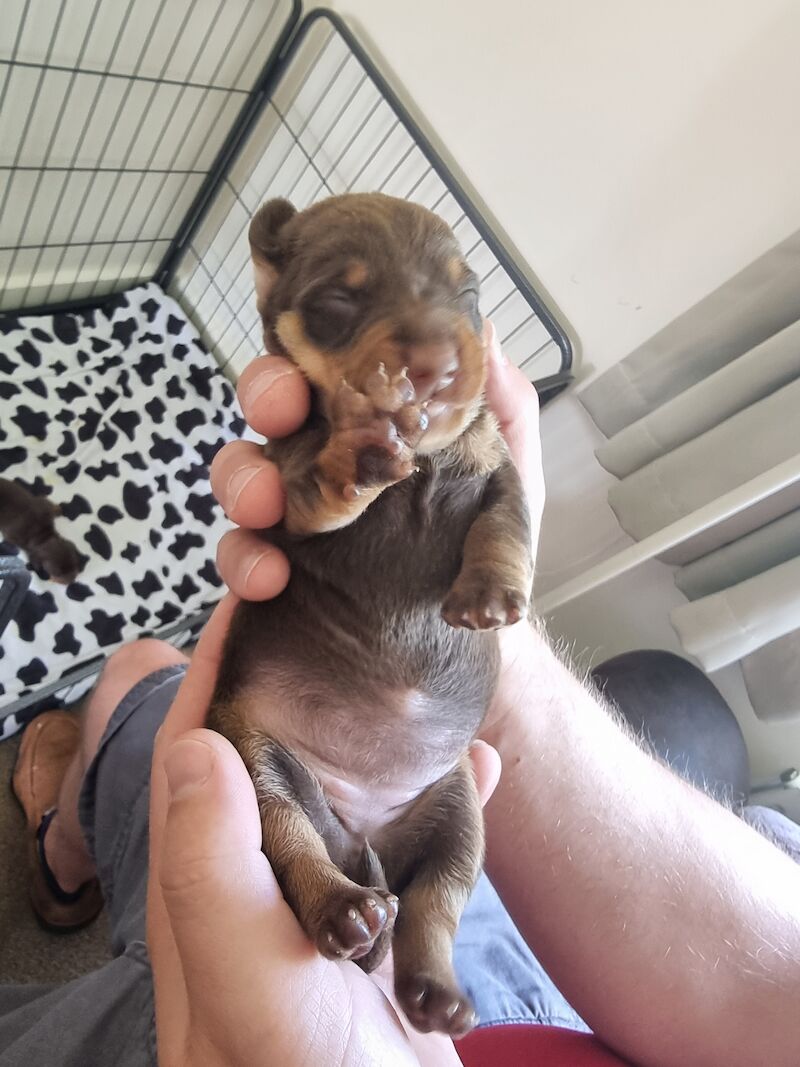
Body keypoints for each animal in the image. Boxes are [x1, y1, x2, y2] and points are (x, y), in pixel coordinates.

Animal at [208, 192, 533, 1032]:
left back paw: (436, 991)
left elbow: (504, 522)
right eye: (336, 302)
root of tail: (362, 831)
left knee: (434, 900)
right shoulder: (289, 491)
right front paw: (359, 447)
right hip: (260, 761)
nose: (436, 368)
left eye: (469, 293)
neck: (419, 464)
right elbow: (323, 485)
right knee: (296, 843)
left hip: (458, 810)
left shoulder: (498, 462)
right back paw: (348, 910)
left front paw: (489, 596)